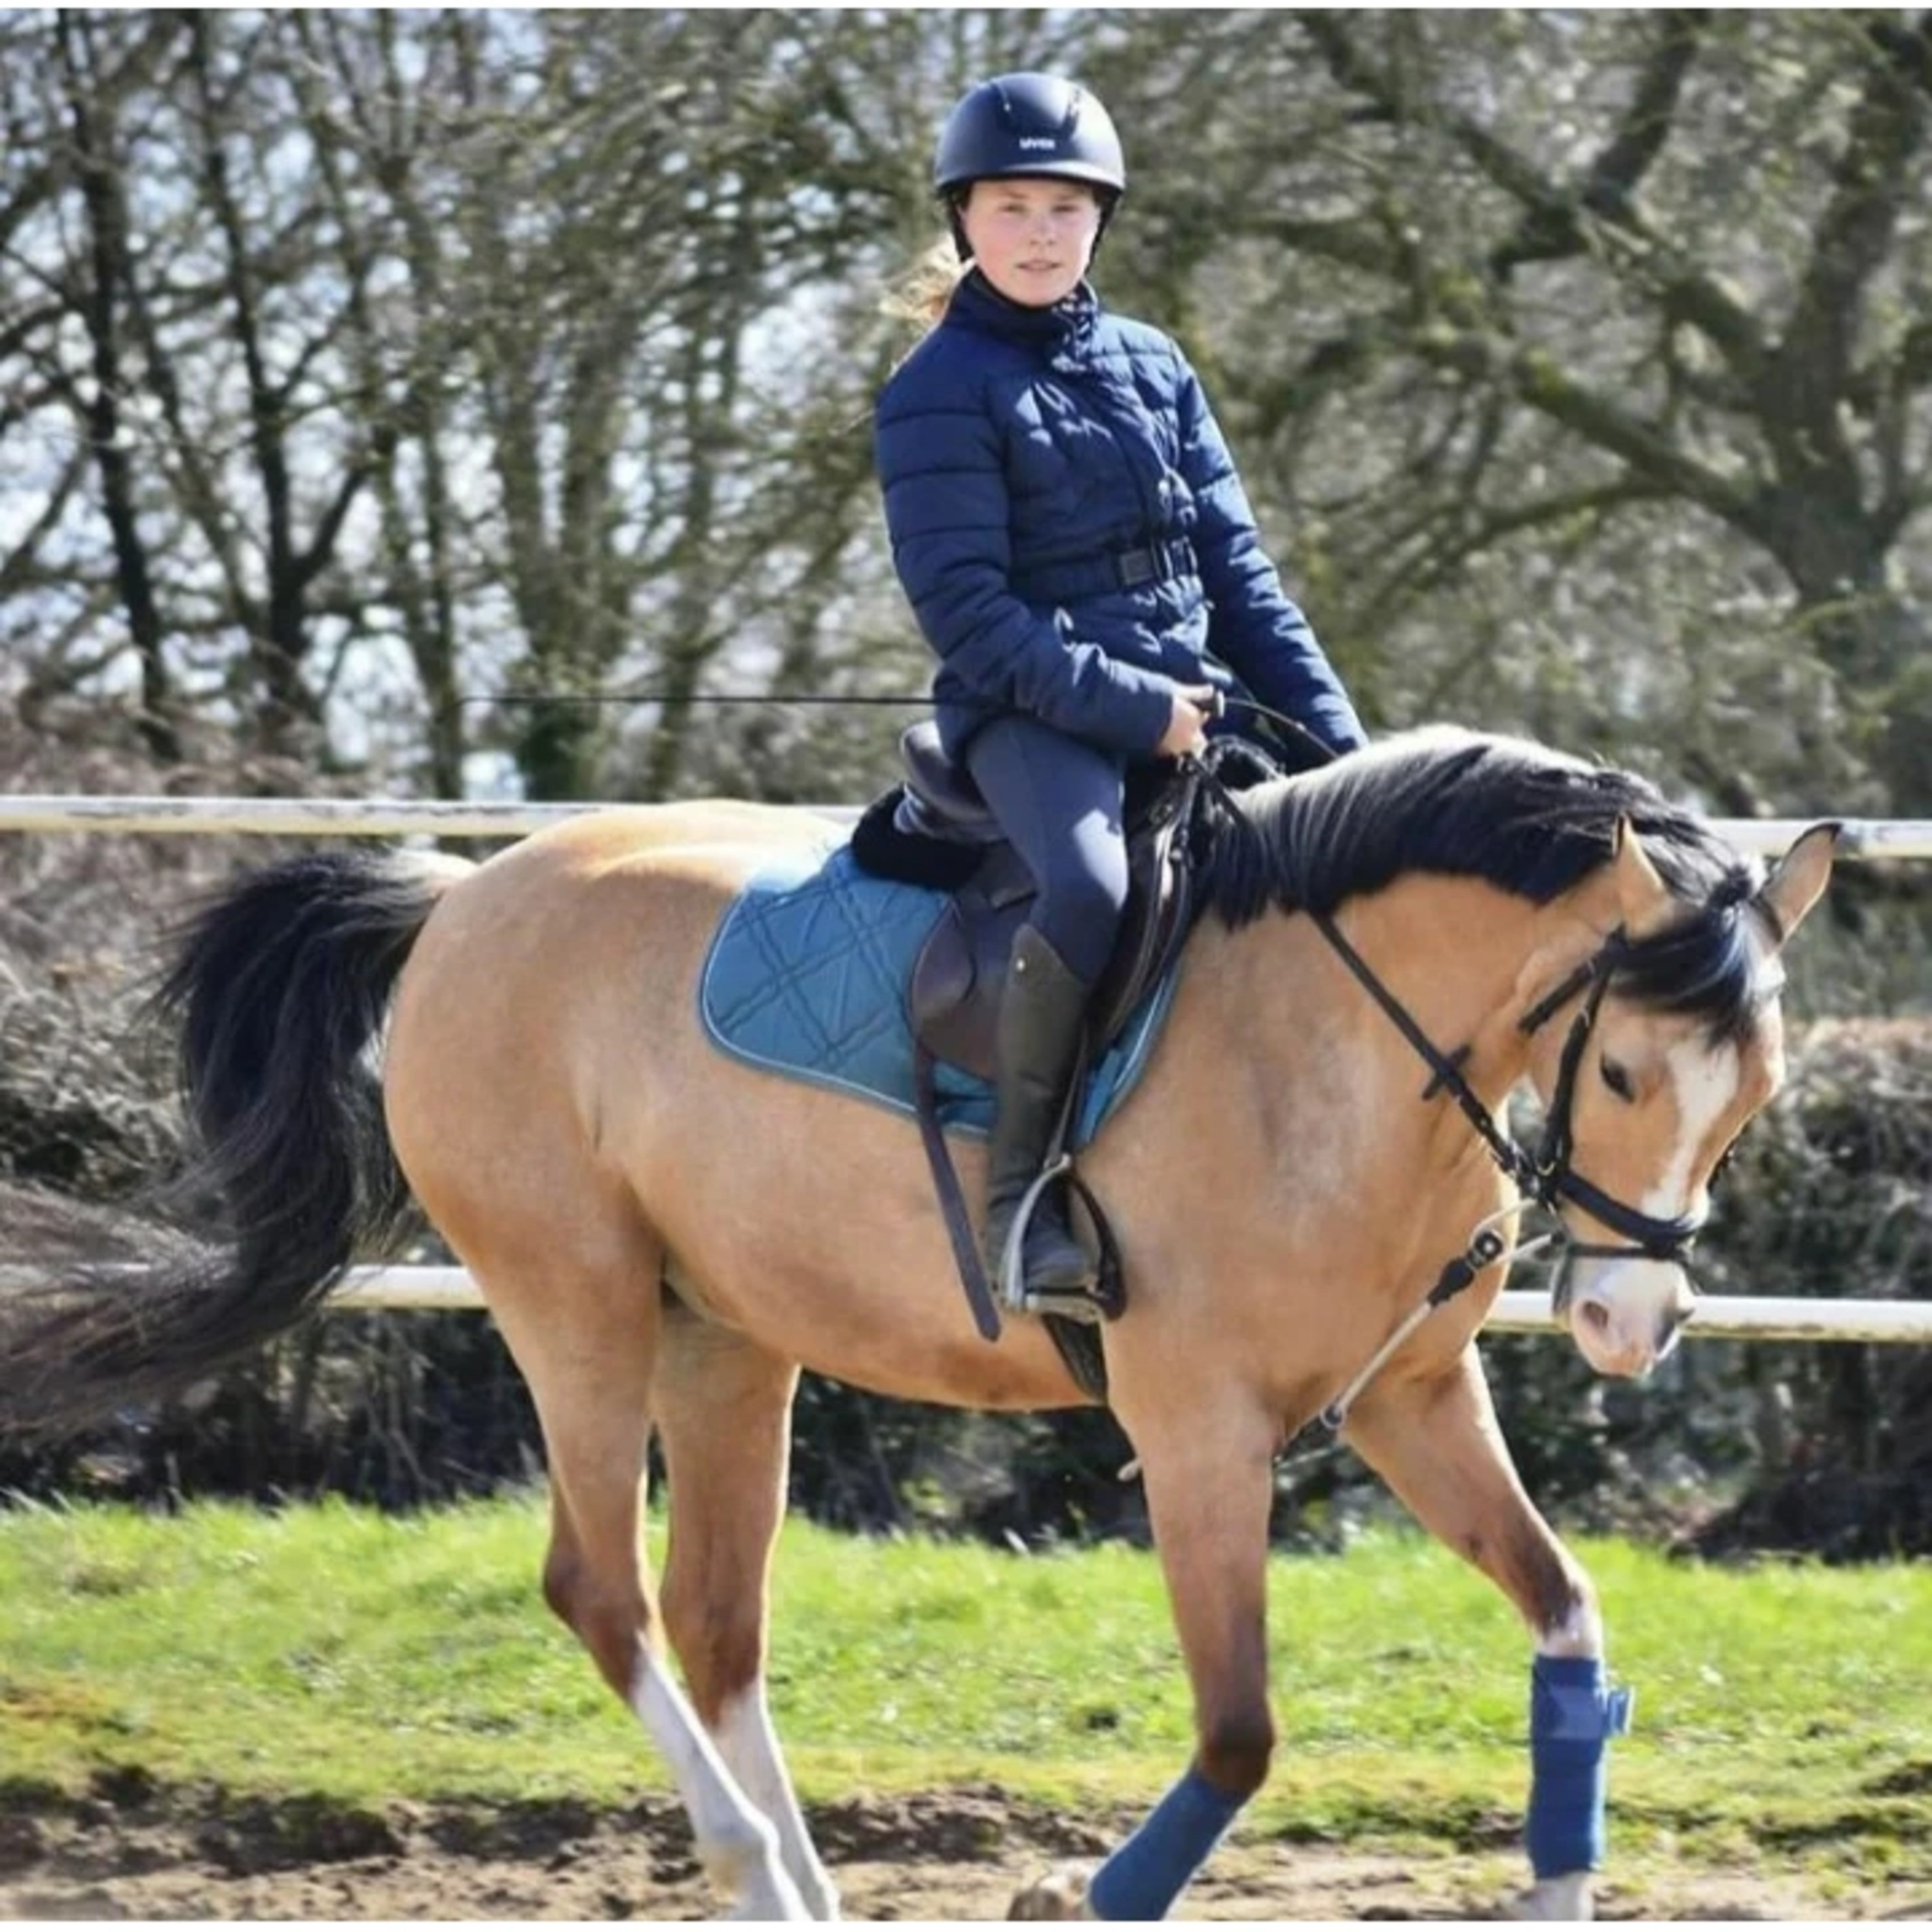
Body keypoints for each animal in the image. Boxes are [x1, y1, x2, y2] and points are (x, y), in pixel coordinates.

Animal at [0, 725, 1835, 1921]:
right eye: (1621, 1070)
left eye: (1755, 1088)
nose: (1626, 1319)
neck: (1327, 1046)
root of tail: (462, 899)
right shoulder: (1198, 1437)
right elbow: (1238, 1735)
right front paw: (1077, 1896)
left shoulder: (1414, 1405)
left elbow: (1569, 1625)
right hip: (574, 1308)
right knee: (605, 1592)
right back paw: (746, 1862)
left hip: (724, 1341)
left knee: (714, 1620)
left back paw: (790, 1888)